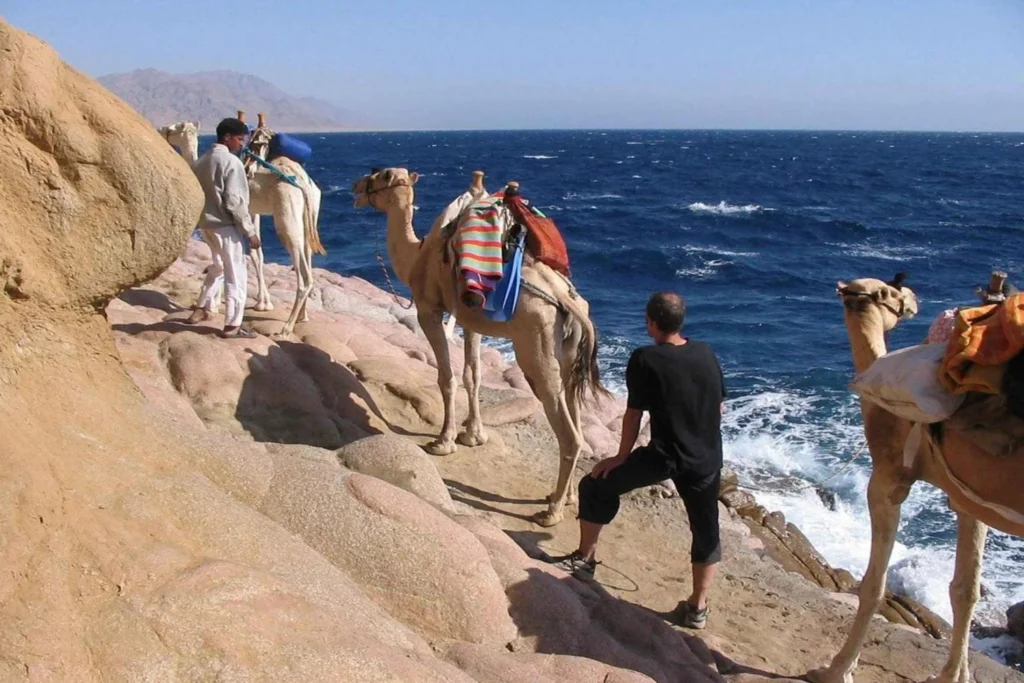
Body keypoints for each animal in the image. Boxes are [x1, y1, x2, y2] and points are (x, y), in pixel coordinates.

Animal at [241, 116, 326, 337]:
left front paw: (262, 303)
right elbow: (257, 253)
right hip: (306, 219)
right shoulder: (252, 210)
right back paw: (302, 317)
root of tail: (303, 182)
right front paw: (263, 303)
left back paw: (286, 327)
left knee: (304, 277)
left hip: (286, 221)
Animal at [352, 168, 609, 526]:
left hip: (536, 344)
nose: (357, 187)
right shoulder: (470, 318)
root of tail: (569, 302)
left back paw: (551, 512)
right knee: (575, 417)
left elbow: (447, 378)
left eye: (381, 175)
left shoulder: (429, 310)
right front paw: (473, 436)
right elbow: (472, 375)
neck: (418, 255)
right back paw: (566, 496)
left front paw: (443, 441)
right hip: (569, 352)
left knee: (567, 429)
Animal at [810, 275, 1024, 683]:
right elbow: (965, 589)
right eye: (892, 291)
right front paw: (954, 675)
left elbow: (873, 585)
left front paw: (837, 668)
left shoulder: (886, 480)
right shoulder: (969, 501)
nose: (912, 298)